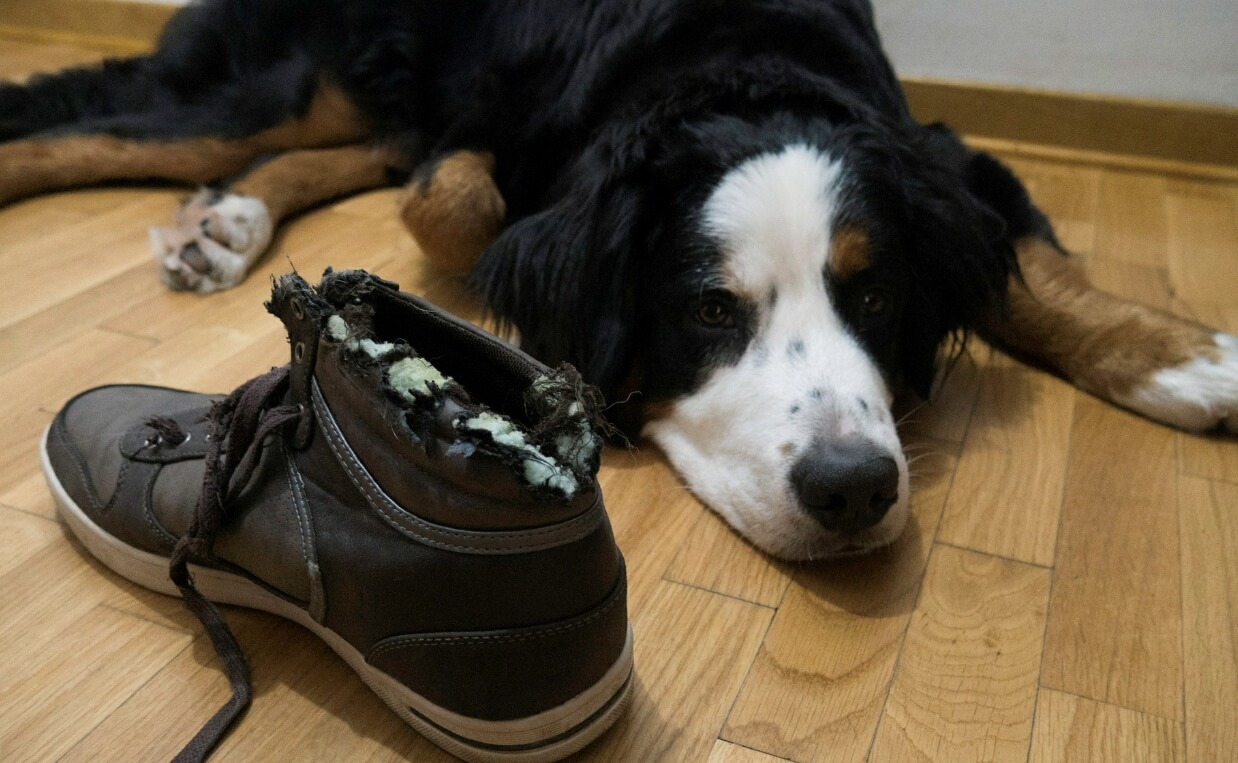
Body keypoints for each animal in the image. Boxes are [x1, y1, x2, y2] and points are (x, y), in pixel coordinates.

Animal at [2, 0, 1238, 559]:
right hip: (263, 84)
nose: (852, 490)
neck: (727, 58)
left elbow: (1031, 272)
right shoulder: (496, 132)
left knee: (352, 143)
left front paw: (1181, 359)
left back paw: (225, 220)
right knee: (84, 128)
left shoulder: (939, 151)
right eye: (706, 309)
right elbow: (458, 199)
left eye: (877, 297)